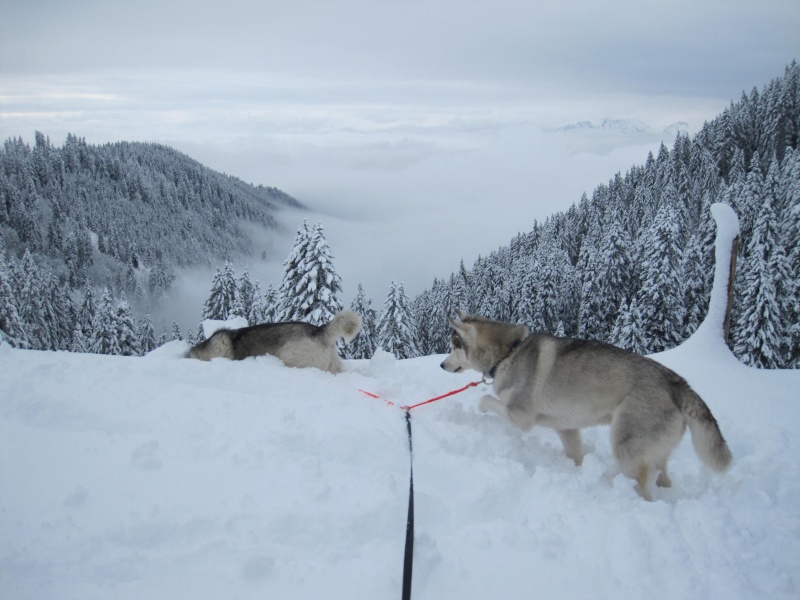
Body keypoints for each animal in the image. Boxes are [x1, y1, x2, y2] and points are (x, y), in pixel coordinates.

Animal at [440, 312, 736, 500]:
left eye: (453, 346)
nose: (441, 365)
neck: (508, 352)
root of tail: (678, 383)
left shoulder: (520, 416)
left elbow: (485, 399)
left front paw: (481, 408)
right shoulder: (566, 428)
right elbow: (576, 455)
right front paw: (578, 472)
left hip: (626, 447)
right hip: (655, 451)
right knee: (664, 478)